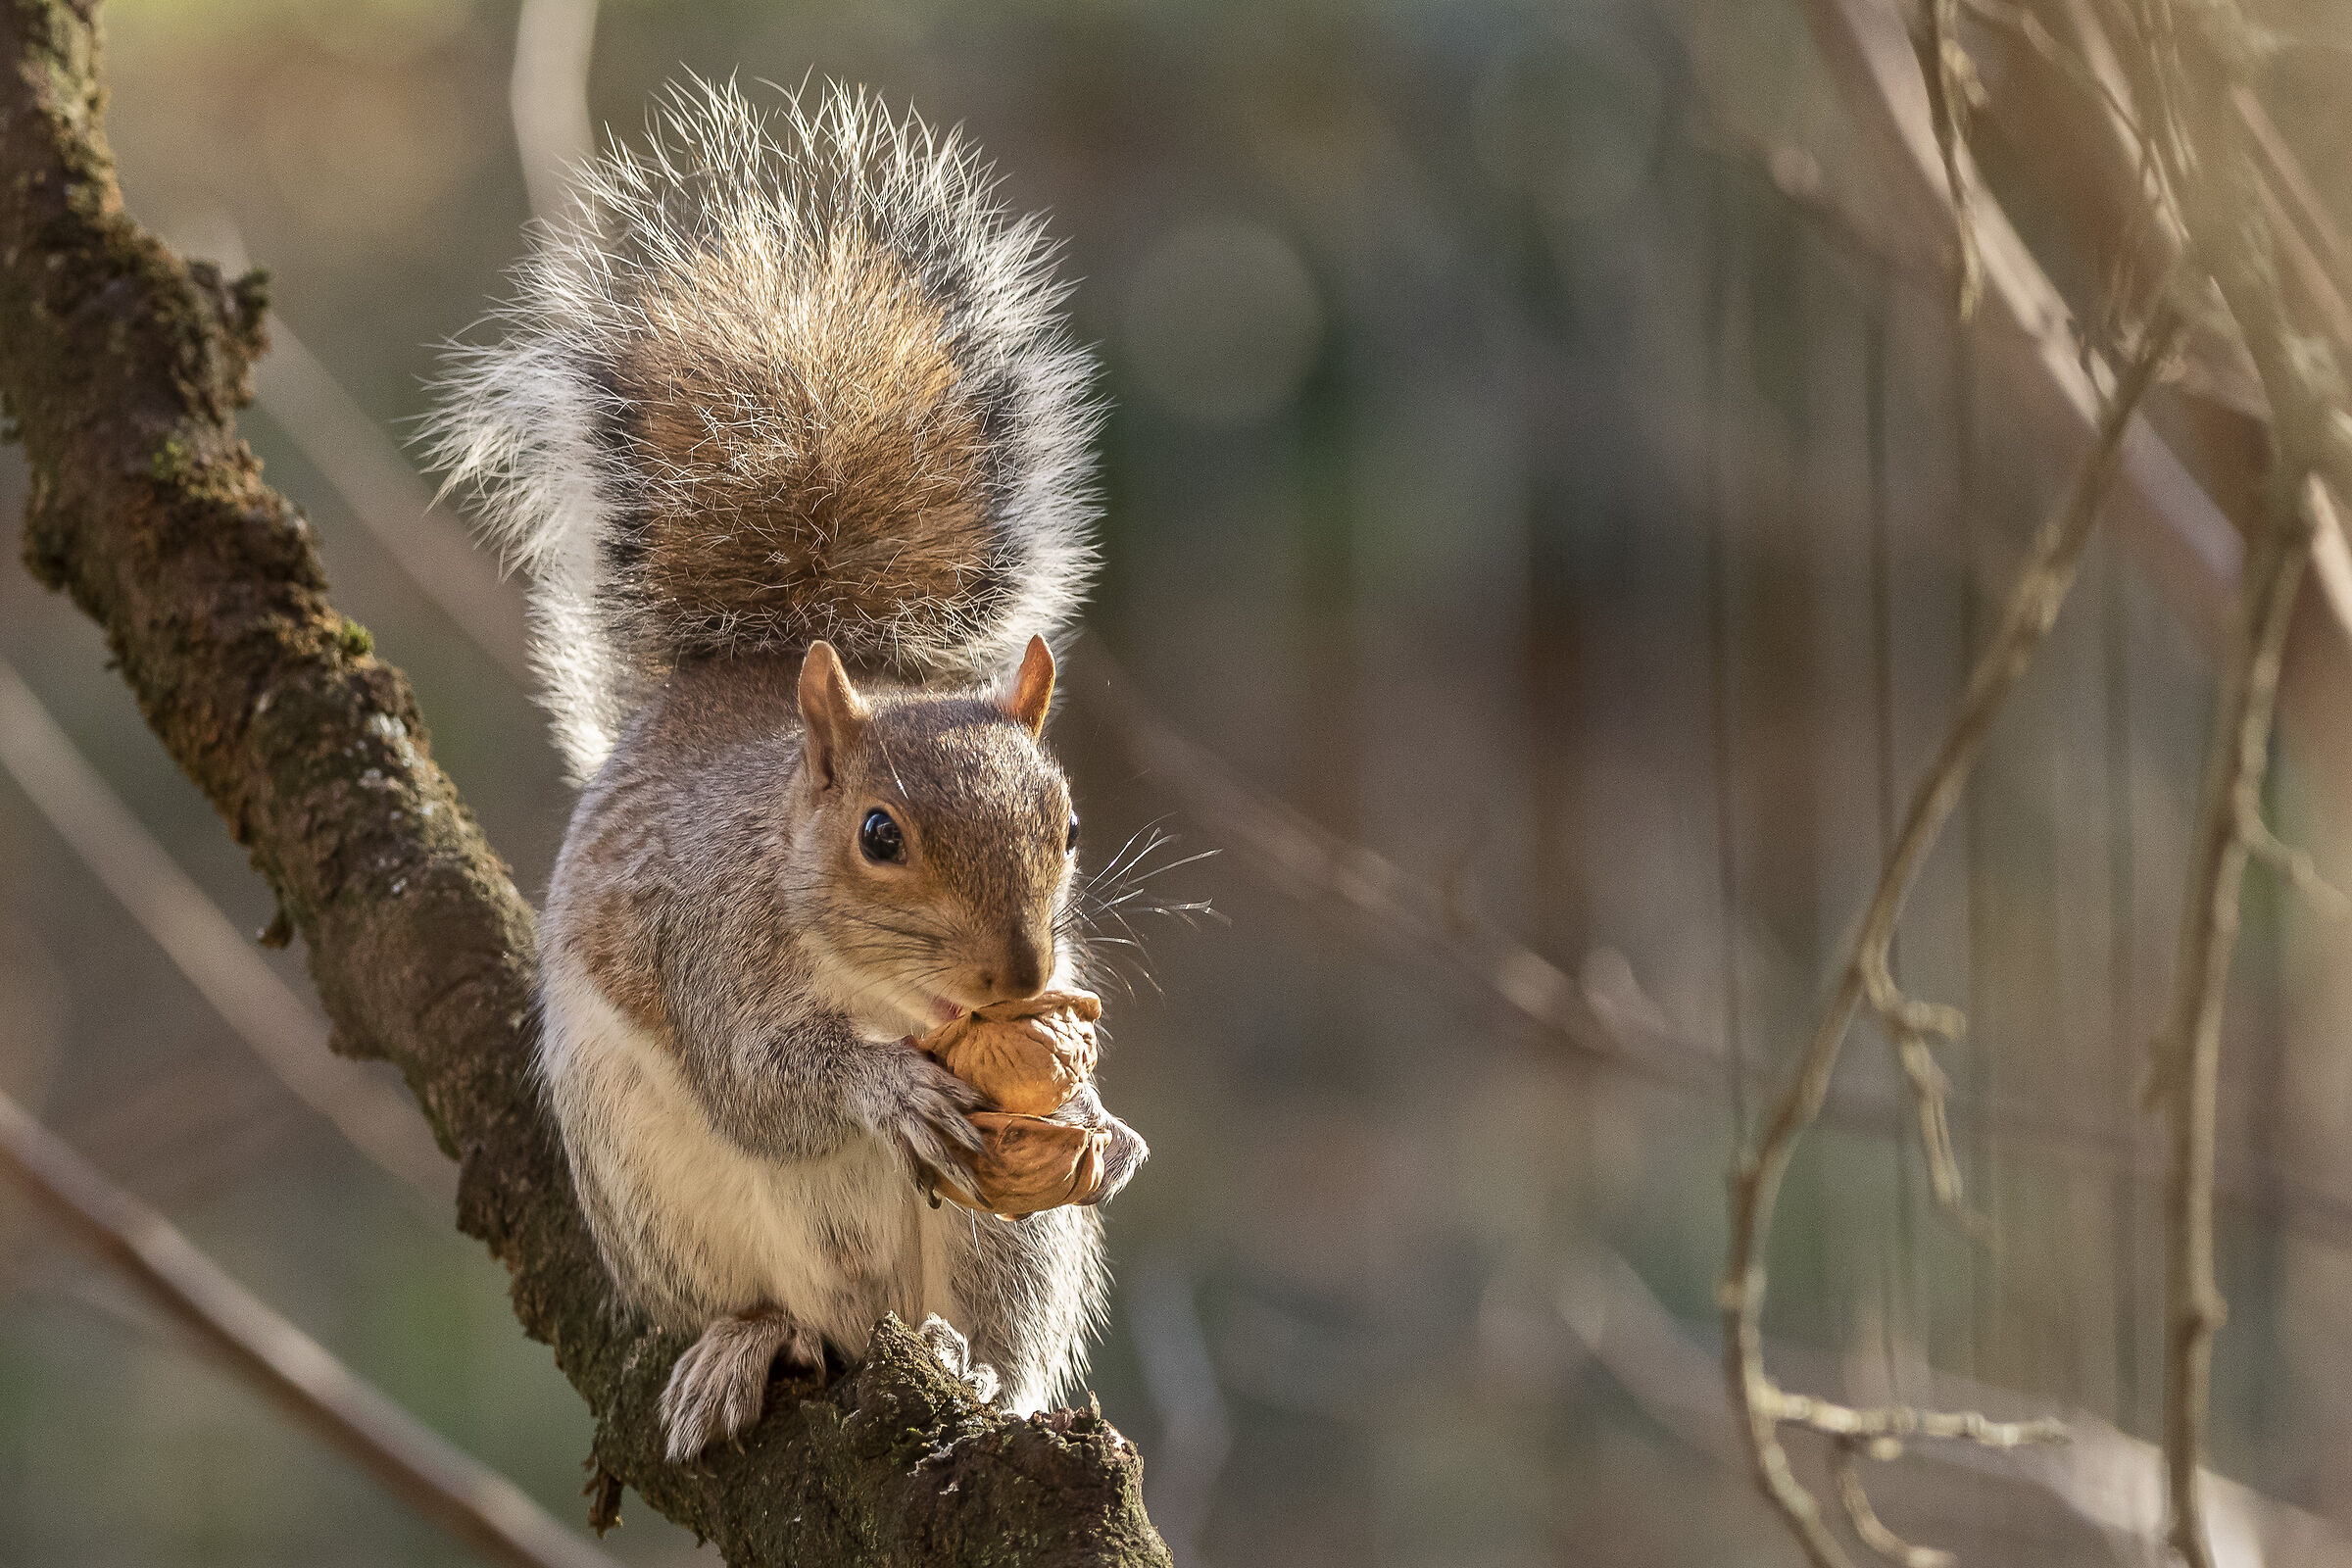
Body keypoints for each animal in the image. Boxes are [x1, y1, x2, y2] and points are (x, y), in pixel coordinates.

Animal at [423, 79, 1147, 1460]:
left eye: (1070, 825)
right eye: (879, 834)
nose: (1021, 974)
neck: (894, 993)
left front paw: (1099, 1122)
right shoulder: (708, 938)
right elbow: (762, 1082)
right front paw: (883, 1087)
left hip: (1008, 1250)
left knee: (989, 1323)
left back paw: (978, 1374)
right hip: (651, 1192)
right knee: (779, 1306)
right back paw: (751, 1344)